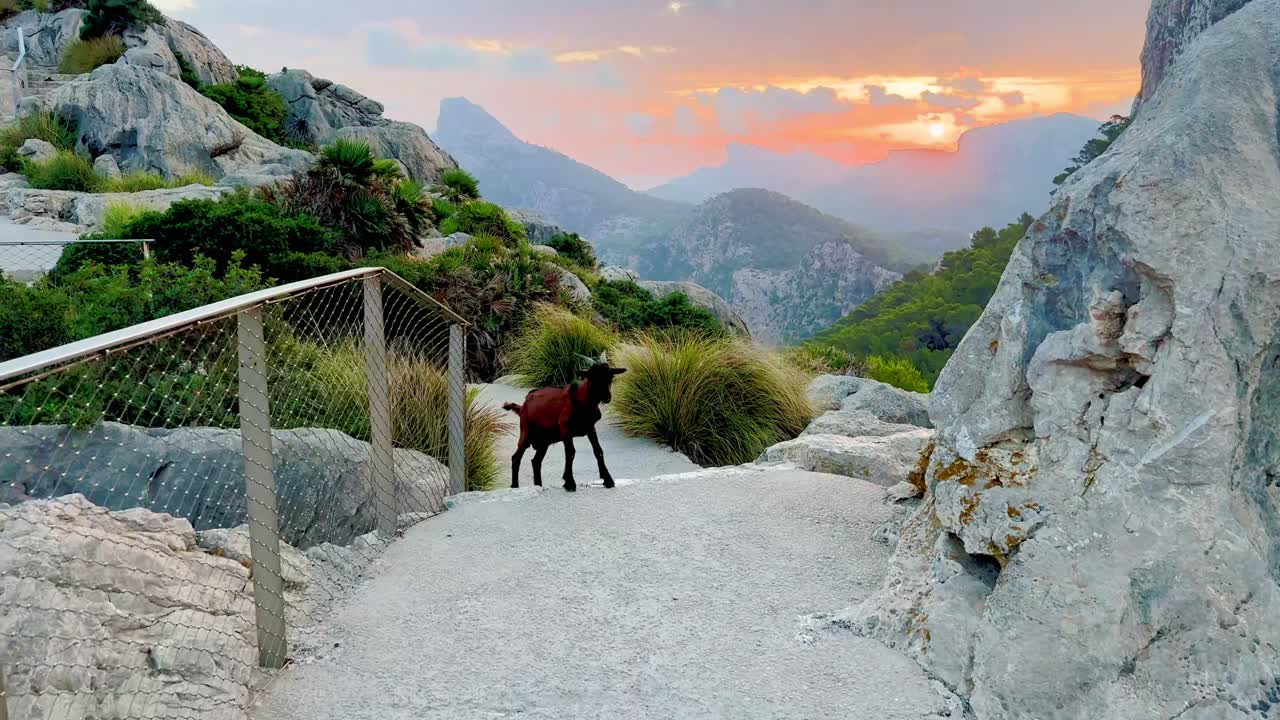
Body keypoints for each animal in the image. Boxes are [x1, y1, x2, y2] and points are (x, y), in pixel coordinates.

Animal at [503, 360, 627, 492]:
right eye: (593, 378)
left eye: (610, 378)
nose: (607, 397)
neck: (580, 400)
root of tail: (523, 405)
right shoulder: (565, 428)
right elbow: (570, 452)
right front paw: (569, 482)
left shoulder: (590, 428)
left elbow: (598, 450)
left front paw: (608, 480)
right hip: (526, 433)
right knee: (516, 458)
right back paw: (515, 485)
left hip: (544, 441)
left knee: (536, 461)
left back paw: (538, 485)